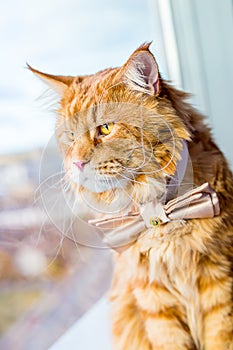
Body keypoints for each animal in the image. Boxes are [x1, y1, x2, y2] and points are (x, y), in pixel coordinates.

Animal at [29, 43, 233, 350]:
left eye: (105, 128)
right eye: (71, 135)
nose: (76, 163)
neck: (157, 209)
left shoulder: (220, 288)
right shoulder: (154, 302)